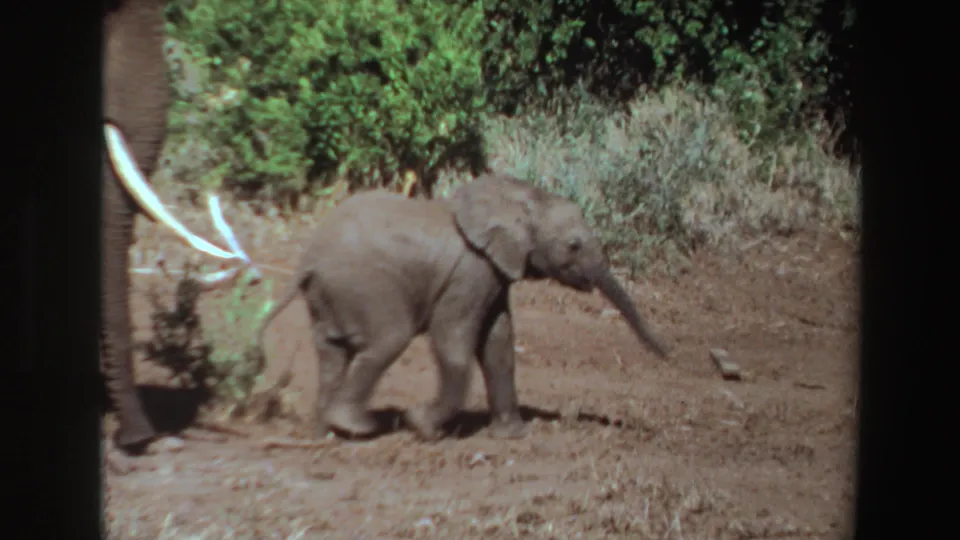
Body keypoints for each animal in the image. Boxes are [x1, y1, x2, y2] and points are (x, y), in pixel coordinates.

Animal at [256, 173, 671, 442]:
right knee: (387, 339)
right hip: (364, 287)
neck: (520, 196)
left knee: (331, 353)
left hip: (330, 296)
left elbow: (499, 343)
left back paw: (324, 434)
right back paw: (357, 427)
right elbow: (453, 338)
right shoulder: (471, 272)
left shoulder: (495, 272)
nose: (668, 354)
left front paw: (512, 435)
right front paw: (421, 426)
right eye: (573, 246)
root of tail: (308, 261)